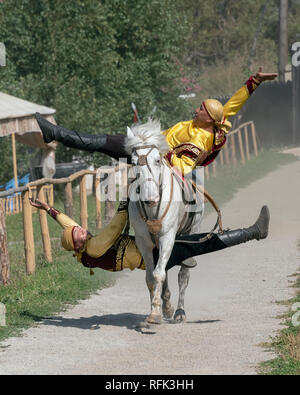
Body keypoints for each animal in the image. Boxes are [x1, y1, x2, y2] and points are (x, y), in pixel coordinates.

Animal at [124, 120, 204, 324]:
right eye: (133, 163)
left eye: (157, 161)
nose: (151, 198)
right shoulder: (144, 241)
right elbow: (151, 277)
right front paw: (158, 309)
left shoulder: (167, 237)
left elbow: (159, 273)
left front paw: (156, 313)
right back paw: (168, 306)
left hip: (190, 231)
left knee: (183, 275)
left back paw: (179, 312)